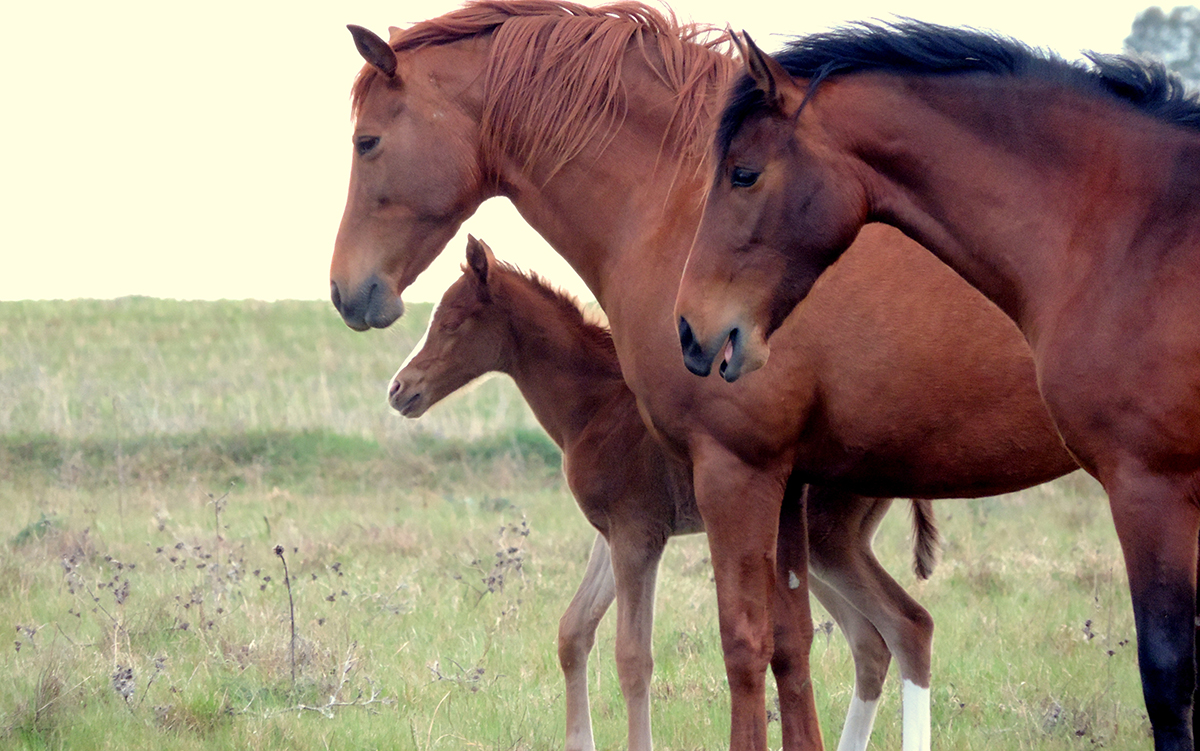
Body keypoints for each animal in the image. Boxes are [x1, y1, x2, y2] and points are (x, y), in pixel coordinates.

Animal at [388, 233, 940, 748]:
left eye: (451, 321)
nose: (398, 389)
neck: (596, 406)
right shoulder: (614, 534)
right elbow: (573, 631)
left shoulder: (637, 534)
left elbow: (633, 656)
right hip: (815, 551)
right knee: (872, 640)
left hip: (829, 542)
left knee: (906, 625)